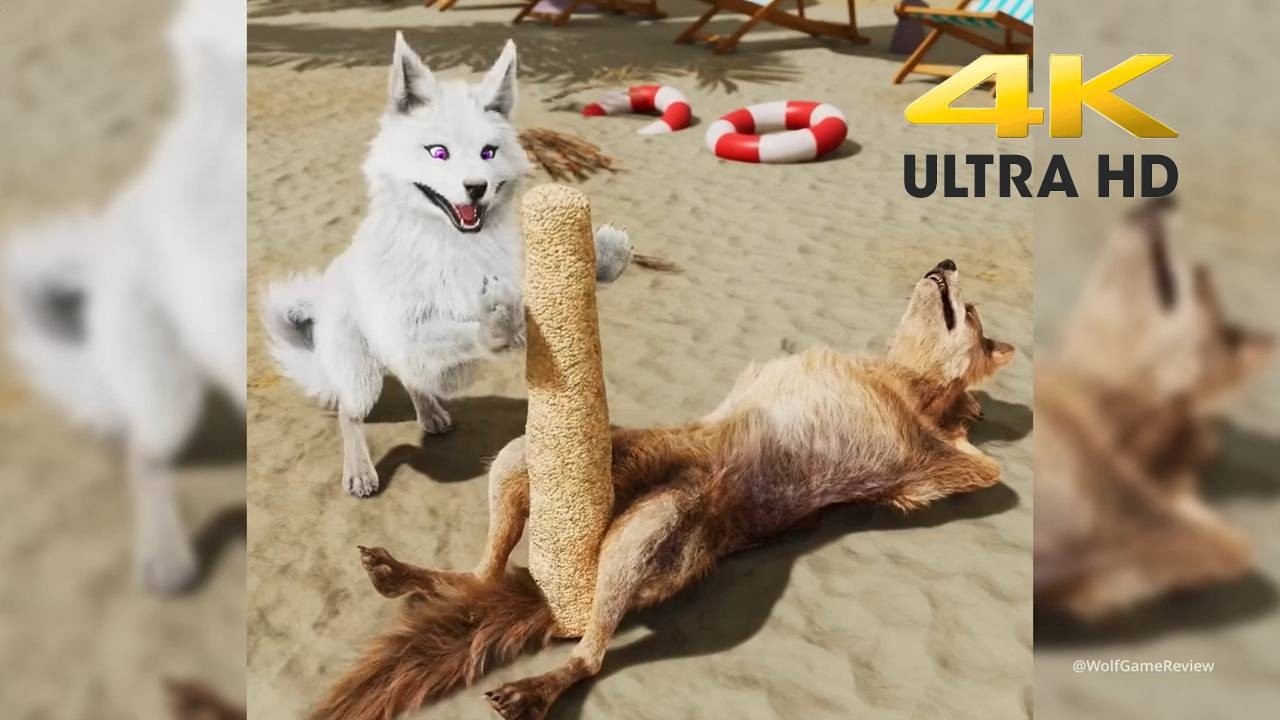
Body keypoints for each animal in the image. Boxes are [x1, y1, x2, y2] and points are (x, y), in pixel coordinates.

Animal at [261, 34, 635, 499]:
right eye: (438, 153)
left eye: (489, 152)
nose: (476, 188)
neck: (455, 247)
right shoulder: (411, 332)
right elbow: (467, 330)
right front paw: (496, 325)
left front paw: (606, 256)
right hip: (363, 377)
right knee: (352, 412)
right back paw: (359, 470)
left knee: (414, 381)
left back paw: (431, 413)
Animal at [311, 259, 1016, 720]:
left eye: (971, 312)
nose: (947, 262)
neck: (903, 373)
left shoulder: (915, 444)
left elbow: (974, 468)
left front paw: (972, 417)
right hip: (569, 457)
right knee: (496, 532)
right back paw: (435, 577)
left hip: (674, 523)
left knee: (606, 609)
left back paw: (561, 670)